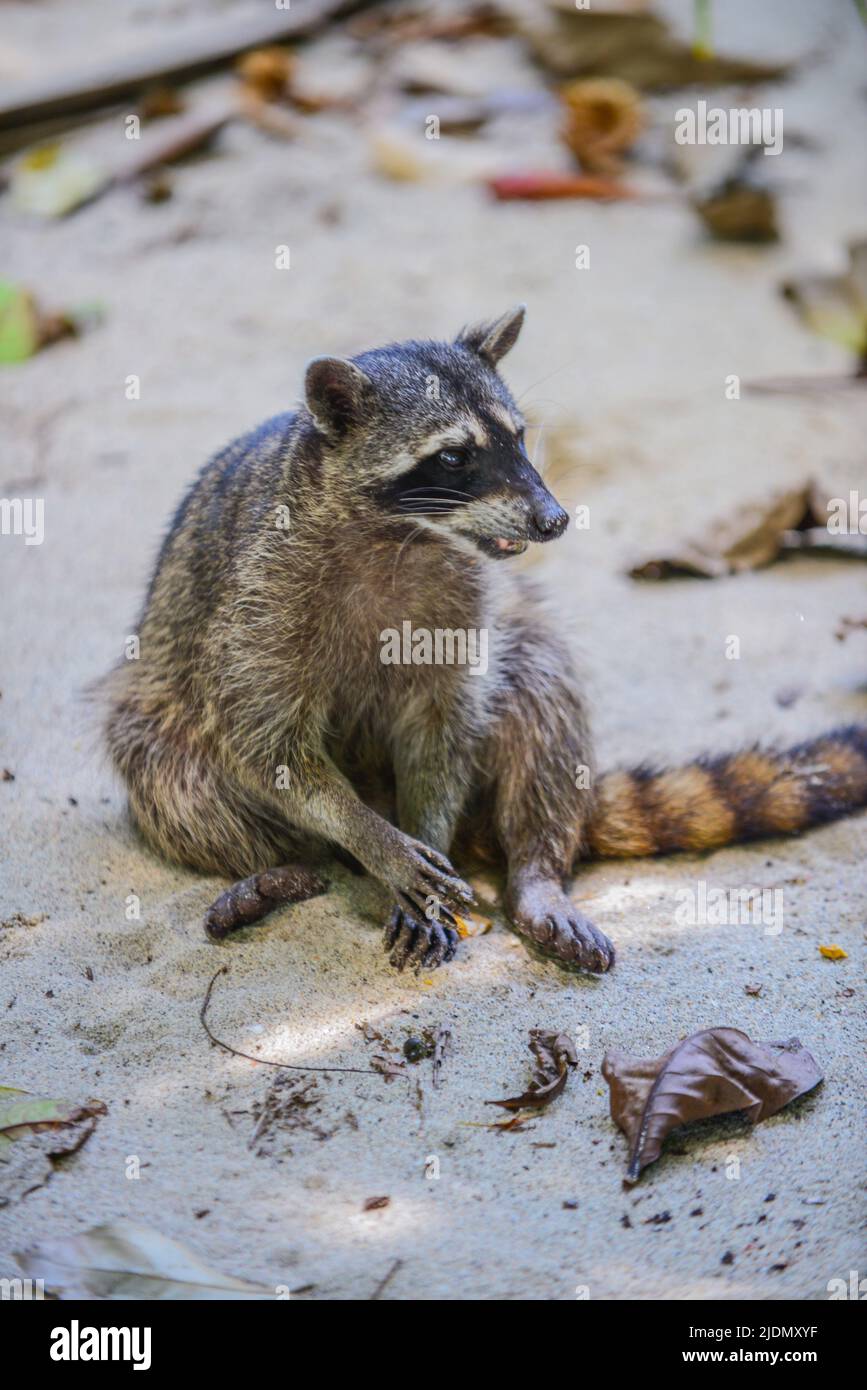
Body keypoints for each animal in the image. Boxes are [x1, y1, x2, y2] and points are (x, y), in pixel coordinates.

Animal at [104, 308, 867, 973]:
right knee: (169, 775)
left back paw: (533, 871)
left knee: (542, 697)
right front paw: (370, 836)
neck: (401, 537)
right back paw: (277, 867)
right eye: (452, 457)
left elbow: (442, 725)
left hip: (518, 642)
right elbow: (266, 741)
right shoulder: (260, 600)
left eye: (520, 438)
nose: (555, 520)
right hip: (159, 700)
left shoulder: (462, 604)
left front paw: (425, 831)